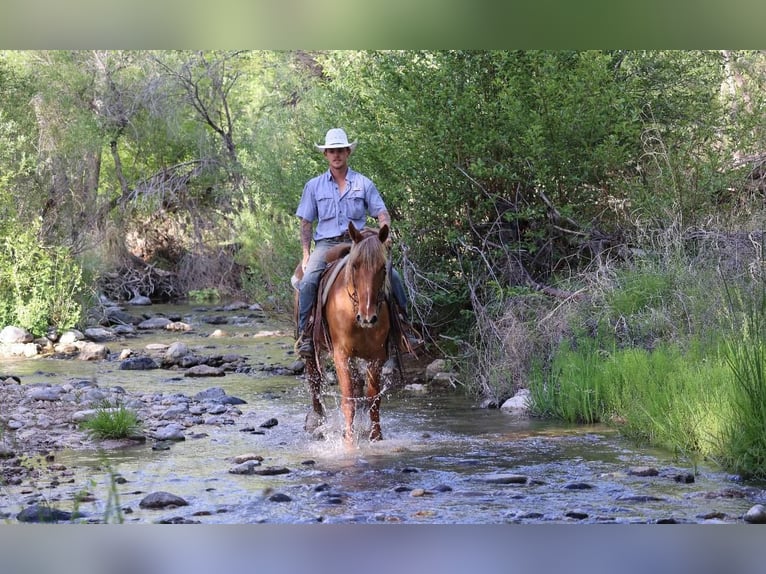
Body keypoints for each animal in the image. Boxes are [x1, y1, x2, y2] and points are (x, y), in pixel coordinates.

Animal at [292, 222, 396, 443]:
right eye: (355, 265)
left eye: (383, 268)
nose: (368, 317)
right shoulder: (341, 354)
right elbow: (348, 399)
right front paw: (349, 439)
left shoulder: (376, 356)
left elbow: (373, 398)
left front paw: (375, 435)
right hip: (313, 350)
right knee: (314, 381)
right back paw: (316, 422)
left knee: (357, 385)